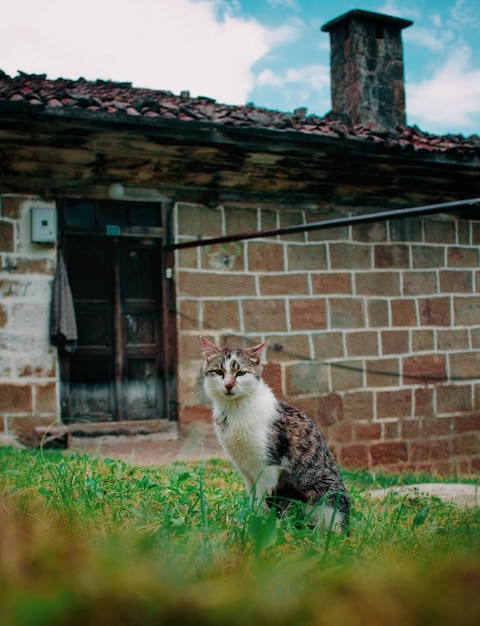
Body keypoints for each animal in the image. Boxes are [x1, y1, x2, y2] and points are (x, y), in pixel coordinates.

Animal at [201, 336, 350, 532]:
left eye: (241, 373)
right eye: (219, 372)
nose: (228, 385)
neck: (234, 410)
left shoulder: (268, 465)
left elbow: (263, 499)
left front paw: (261, 522)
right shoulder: (246, 469)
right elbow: (253, 496)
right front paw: (249, 519)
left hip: (322, 489)